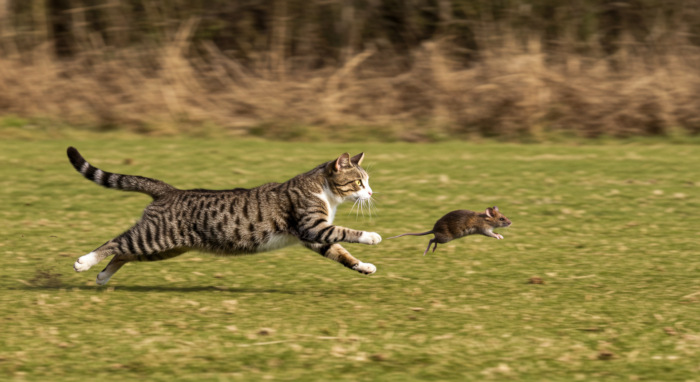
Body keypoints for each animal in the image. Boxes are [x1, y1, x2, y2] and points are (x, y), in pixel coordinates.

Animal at [68, 148, 380, 286]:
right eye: (359, 182)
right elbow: (346, 232)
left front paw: (363, 266)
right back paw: (85, 262)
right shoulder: (312, 227)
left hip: (164, 248)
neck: (324, 191)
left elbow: (341, 253)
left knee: (124, 253)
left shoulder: (313, 237)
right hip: (154, 238)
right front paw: (372, 236)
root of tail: (171, 191)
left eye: (366, 182)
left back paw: (102, 276)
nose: (371, 192)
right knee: (115, 243)